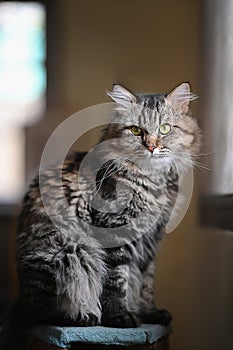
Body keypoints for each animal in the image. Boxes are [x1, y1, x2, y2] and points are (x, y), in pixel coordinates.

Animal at [0, 82, 200, 350]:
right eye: (136, 131)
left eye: (165, 129)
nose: (151, 147)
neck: (151, 181)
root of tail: (21, 300)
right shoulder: (114, 231)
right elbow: (116, 280)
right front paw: (120, 317)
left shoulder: (151, 239)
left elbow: (145, 282)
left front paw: (149, 312)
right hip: (70, 250)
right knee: (45, 312)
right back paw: (85, 316)